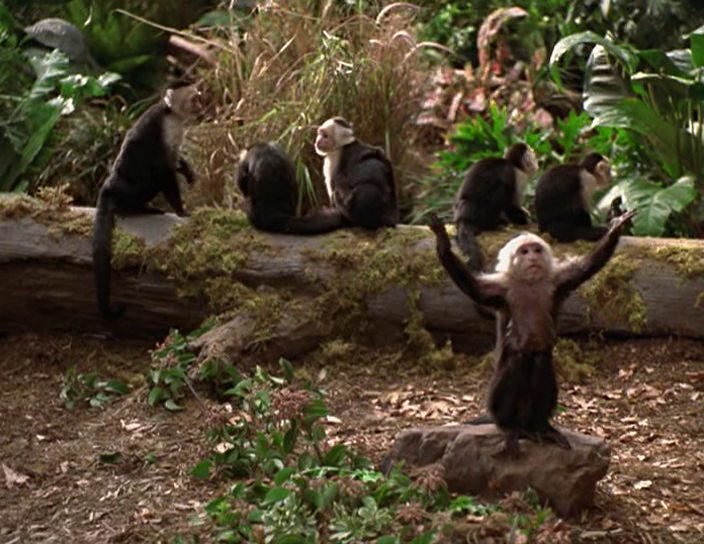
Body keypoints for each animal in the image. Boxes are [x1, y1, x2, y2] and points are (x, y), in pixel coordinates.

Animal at [92, 84, 202, 319]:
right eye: (193, 99)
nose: (201, 105)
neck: (173, 116)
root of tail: (108, 186)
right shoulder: (165, 130)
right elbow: (164, 171)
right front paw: (181, 210)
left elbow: (176, 161)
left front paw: (188, 170)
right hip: (127, 188)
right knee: (149, 179)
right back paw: (138, 208)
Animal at [429, 210, 635, 457]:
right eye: (524, 252)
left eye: (536, 250)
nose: (533, 258)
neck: (529, 283)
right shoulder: (502, 288)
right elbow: (475, 290)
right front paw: (443, 244)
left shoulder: (556, 280)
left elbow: (585, 269)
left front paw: (615, 229)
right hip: (496, 404)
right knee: (518, 359)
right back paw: (509, 427)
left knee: (540, 359)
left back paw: (540, 427)